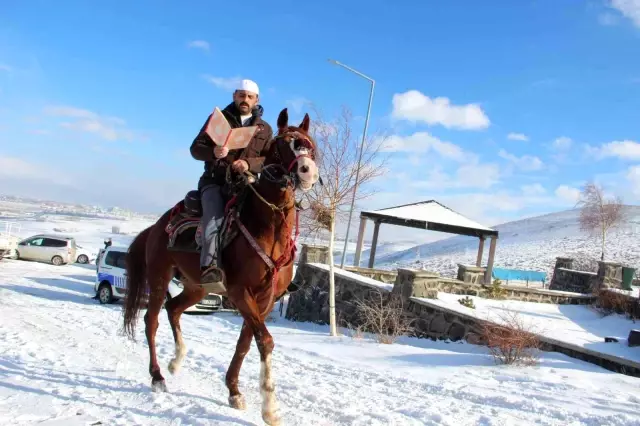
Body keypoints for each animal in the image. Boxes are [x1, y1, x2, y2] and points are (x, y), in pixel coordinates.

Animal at [120, 108, 318, 424]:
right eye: (281, 143)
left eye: (310, 143)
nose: (307, 170)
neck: (269, 229)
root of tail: (155, 227)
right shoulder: (240, 292)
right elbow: (266, 341)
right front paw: (270, 407)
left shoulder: (266, 299)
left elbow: (246, 342)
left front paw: (234, 391)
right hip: (160, 277)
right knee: (152, 320)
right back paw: (158, 376)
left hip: (198, 286)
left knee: (173, 308)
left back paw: (176, 360)